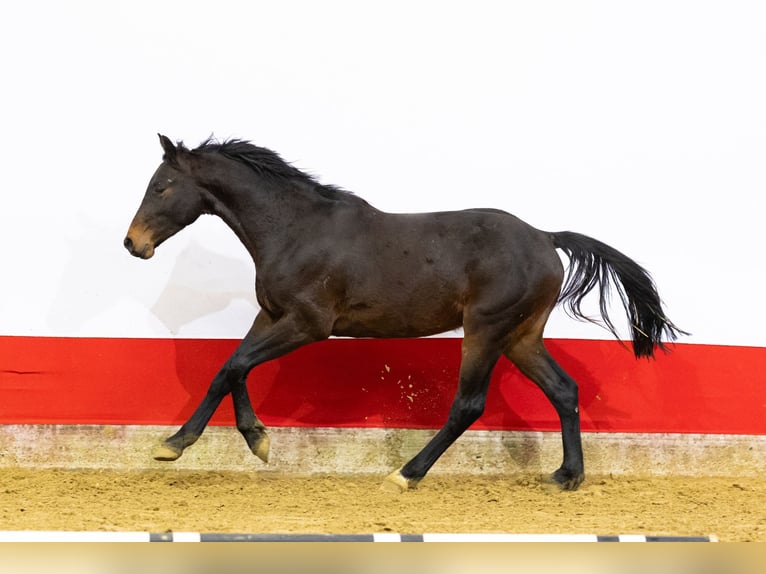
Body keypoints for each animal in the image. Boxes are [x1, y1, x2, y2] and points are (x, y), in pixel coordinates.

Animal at [124, 134, 685, 492]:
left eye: (161, 185)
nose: (133, 244)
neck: (294, 229)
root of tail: (546, 239)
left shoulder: (309, 324)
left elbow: (235, 365)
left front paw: (197, 443)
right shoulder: (271, 316)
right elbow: (230, 368)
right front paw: (218, 441)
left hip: (486, 330)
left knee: (468, 405)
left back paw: (406, 474)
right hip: (521, 336)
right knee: (564, 390)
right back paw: (568, 476)